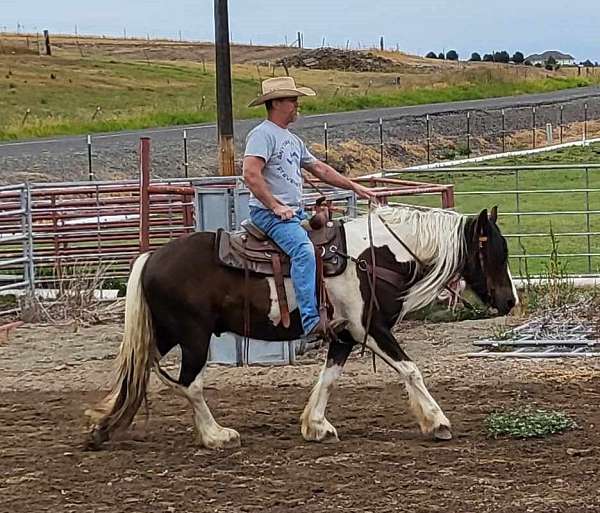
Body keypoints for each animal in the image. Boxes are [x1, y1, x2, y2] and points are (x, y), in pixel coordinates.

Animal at [86, 204, 516, 448]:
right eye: (496, 251)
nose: (510, 301)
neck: (376, 257)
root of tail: (151, 257)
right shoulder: (370, 328)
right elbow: (410, 369)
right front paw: (437, 422)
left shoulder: (344, 334)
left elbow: (328, 378)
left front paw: (316, 426)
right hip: (193, 337)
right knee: (190, 384)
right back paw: (216, 436)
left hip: (165, 333)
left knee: (134, 374)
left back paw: (102, 429)